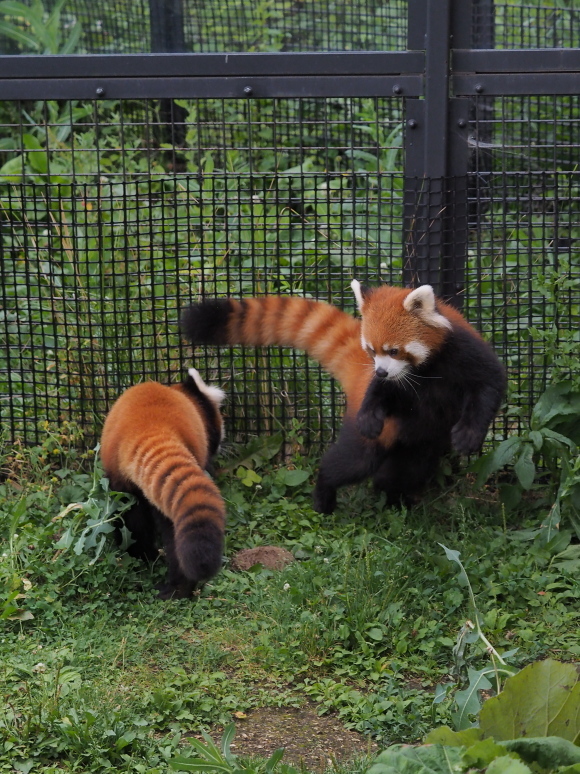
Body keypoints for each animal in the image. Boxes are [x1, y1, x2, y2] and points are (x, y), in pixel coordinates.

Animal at [99, 368, 227, 600]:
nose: (221, 444)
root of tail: (149, 427)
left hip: (123, 484)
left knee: (133, 522)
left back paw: (145, 559)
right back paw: (180, 587)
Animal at [180, 284, 502, 516]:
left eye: (393, 350)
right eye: (371, 350)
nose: (380, 371)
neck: (427, 368)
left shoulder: (465, 353)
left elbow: (489, 389)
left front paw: (468, 435)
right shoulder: (390, 384)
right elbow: (379, 394)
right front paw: (370, 414)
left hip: (417, 440)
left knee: (405, 469)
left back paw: (397, 502)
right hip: (385, 428)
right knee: (351, 461)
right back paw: (325, 495)